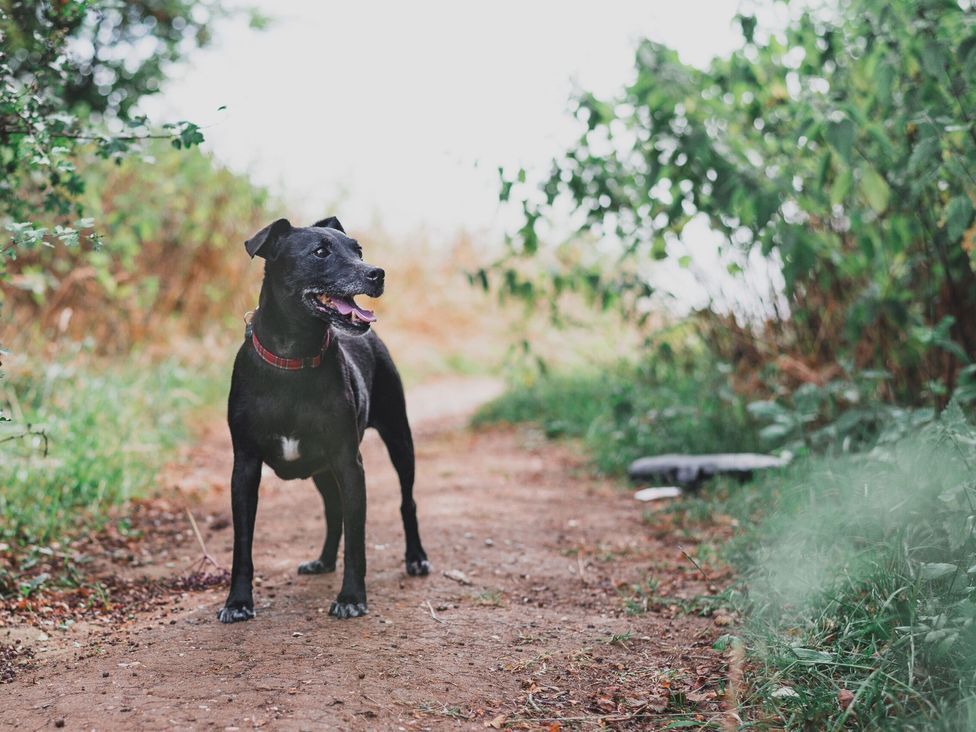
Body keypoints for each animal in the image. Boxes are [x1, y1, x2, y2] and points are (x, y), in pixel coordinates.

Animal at [221, 217, 434, 624]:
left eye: (358, 250)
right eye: (320, 252)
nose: (377, 273)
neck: (293, 358)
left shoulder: (348, 462)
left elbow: (357, 539)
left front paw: (351, 597)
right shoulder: (245, 467)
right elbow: (242, 544)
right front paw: (237, 602)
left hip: (399, 440)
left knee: (407, 502)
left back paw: (416, 558)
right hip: (320, 470)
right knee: (334, 511)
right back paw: (322, 561)